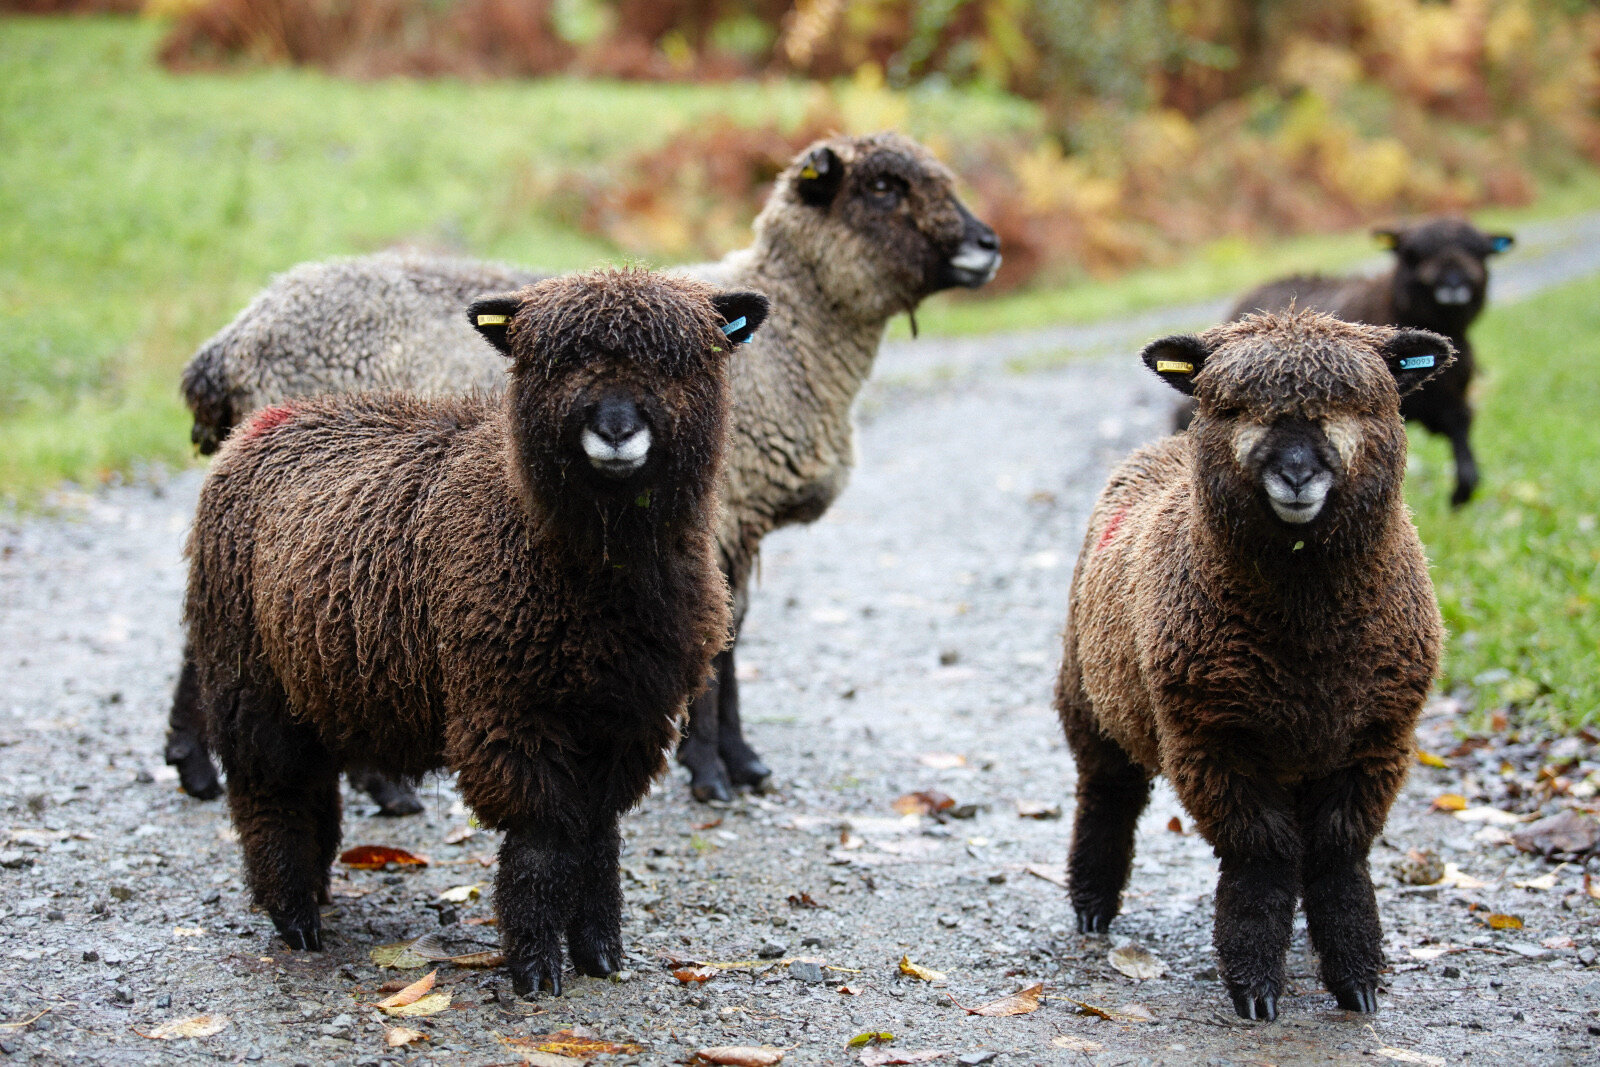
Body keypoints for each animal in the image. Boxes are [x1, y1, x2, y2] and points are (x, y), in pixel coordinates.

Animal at [184, 268, 764, 1004]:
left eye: (679, 362)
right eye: (554, 362)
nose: (615, 429)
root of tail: (263, 420)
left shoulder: (628, 715)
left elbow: (597, 835)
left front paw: (601, 951)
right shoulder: (510, 709)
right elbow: (547, 841)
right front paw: (536, 966)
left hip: (318, 677)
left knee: (313, 786)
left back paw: (316, 890)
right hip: (246, 672)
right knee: (272, 792)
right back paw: (294, 916)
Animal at [1056, 308, 1459, 1017]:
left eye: (1359, 403)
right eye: (1235, 407)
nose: (1296, 475)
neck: (1306, 636)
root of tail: (1165, 447)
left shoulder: (1378, 738)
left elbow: (1337, 853)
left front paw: (1356, 980)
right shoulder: (1213, 739)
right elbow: (1260, 855)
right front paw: (1253, 985)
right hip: (1089, 699)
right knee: (1107, 794)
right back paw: (1093, 906)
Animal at [1177, 217, 1510, 508]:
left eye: (1480, 252)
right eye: (1412, 254)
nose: (1453, 283)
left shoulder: (1449, 400)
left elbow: (1462, 439)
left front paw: (1460, 496)